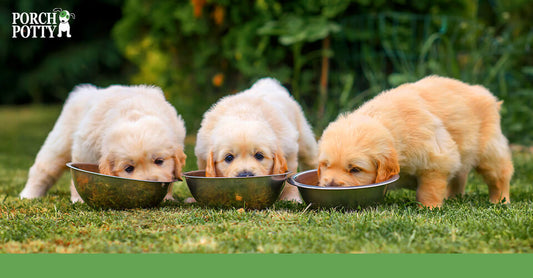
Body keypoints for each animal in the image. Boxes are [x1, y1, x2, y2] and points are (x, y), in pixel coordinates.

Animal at [19, 83, 186, 203]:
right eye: (129, 169)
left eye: (159, 161)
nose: (151, 182)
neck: (134, 113)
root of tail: (86, 92)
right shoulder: (85, 148)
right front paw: (78, 199)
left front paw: (167, 197)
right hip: (59, 142)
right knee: (43, 170)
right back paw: (28, 195)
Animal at [318, 75, 512, 207]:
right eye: (326, 165)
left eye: (355, 169)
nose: (330, 185)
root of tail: (485, 93)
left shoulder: (436, 159)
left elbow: (429, 189)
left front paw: (429, 208)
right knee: (460, 176)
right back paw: (453, 197)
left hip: (489, 151)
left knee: (500, 176)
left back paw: (500, 201)